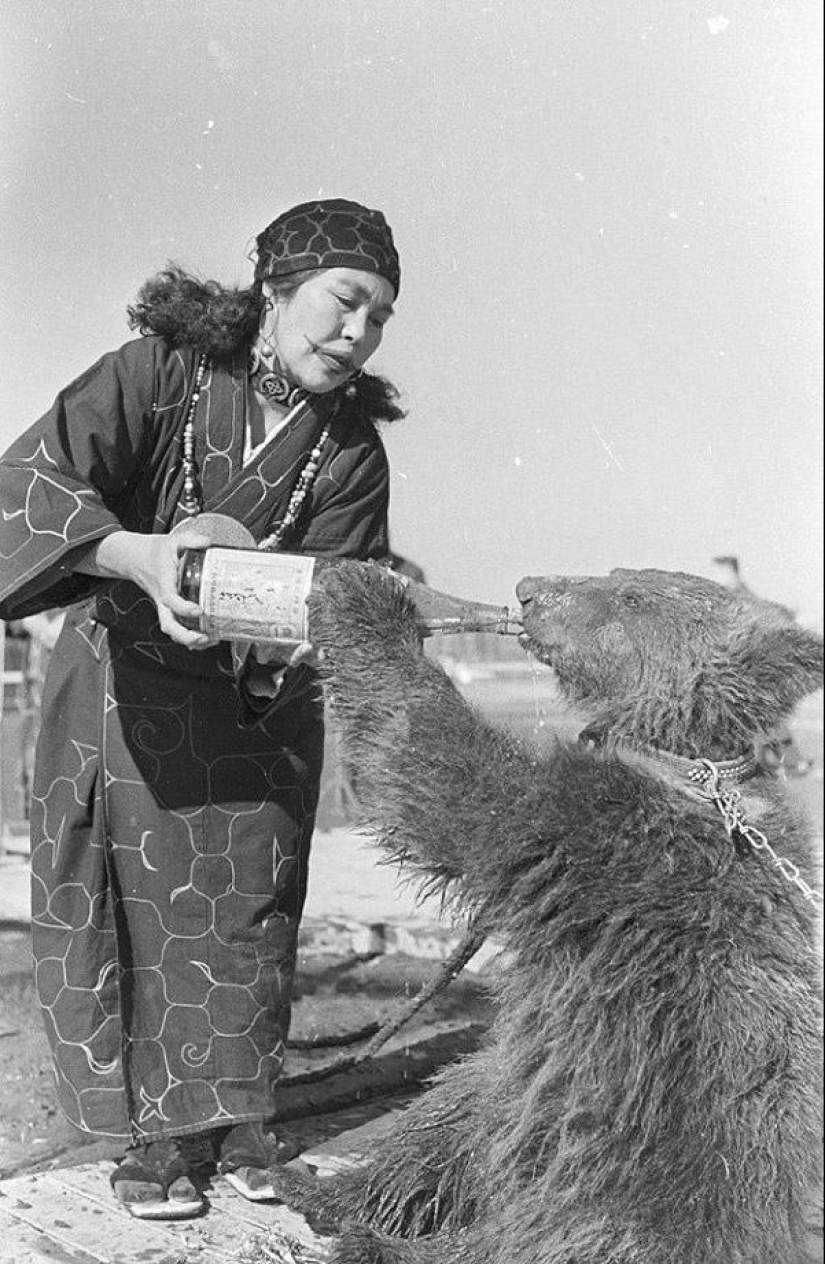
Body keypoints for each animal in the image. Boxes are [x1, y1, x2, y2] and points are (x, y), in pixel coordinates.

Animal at [280, 566, 818, 1264]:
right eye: (619, 573)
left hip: (615, 1191)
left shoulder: (606, 845)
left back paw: (371, 1238)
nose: (531, 588)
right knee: (455, 1112)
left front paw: (363, 599)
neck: (692, 766)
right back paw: (327, 1193)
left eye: (632, 596)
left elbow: (449, 776)